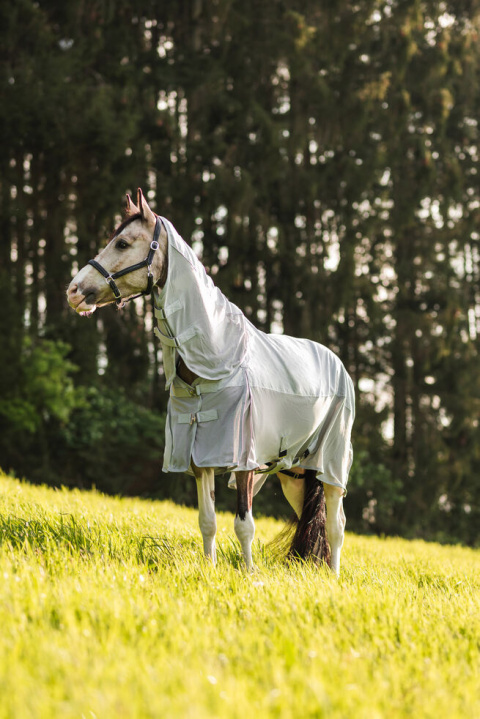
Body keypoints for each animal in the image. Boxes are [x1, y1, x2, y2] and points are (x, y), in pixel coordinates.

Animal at [65, 188, 354, 576]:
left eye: (122, 243)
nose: (74, 291)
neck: (218, 359)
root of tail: (337, 364)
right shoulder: (198, 459)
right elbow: (208, 521)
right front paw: (210, 569)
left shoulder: (243, 460)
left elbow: (244, 524)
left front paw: (249, 575)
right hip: (294, 473)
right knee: (313, 519)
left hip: (331, 467)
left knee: (336, 525)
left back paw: (333, 577)